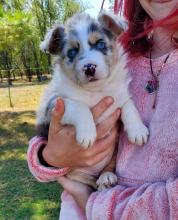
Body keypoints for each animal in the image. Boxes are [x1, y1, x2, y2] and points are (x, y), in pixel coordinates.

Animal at [35, 11, 149, 191]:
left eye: (100, 44)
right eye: (72, 52)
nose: (89, 68)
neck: (96, 91)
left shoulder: (119, 95)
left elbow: (128, 105)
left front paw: (138, 130)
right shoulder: (53, 104)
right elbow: (79, 106)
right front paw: (87, 133)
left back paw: (106, 177)